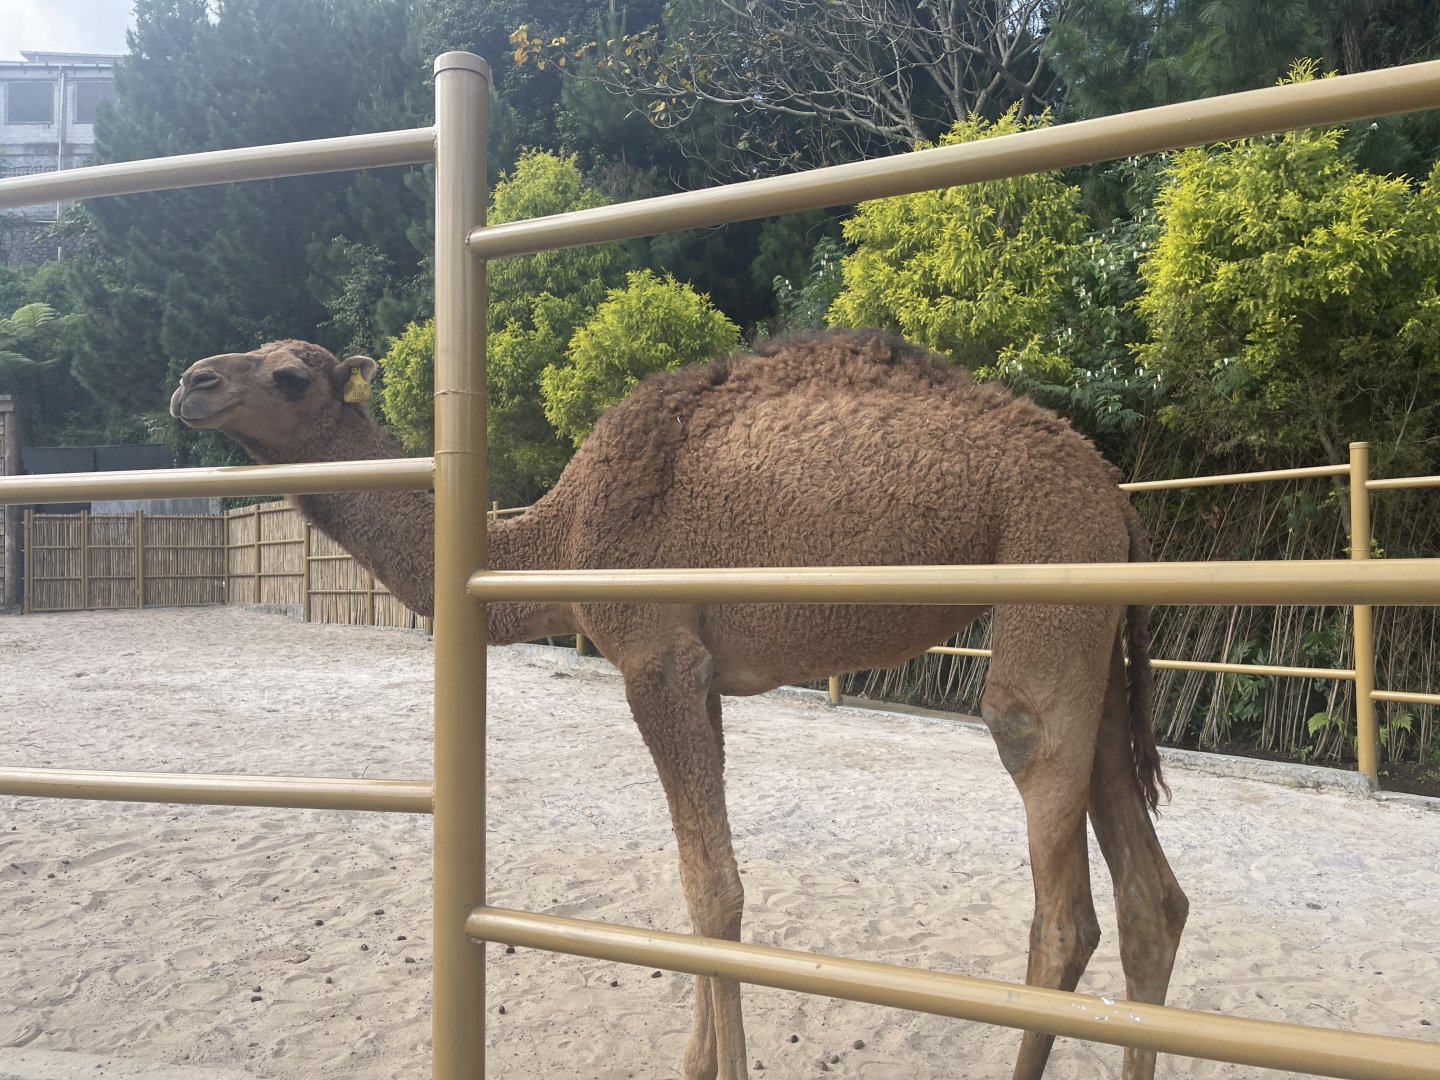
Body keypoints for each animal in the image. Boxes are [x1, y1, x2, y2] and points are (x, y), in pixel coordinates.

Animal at [170, 330, 1188, 1080]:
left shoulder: (655, 658)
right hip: (1095, 634)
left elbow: (717, 890)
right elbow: (701, 881)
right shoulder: (706, 679)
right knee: (1153, 899)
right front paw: (696, 1059)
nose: (189, 380)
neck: (559, 539)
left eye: (290, 375)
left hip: (1049, 574)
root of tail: (1121, 503)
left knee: (1060, 885)